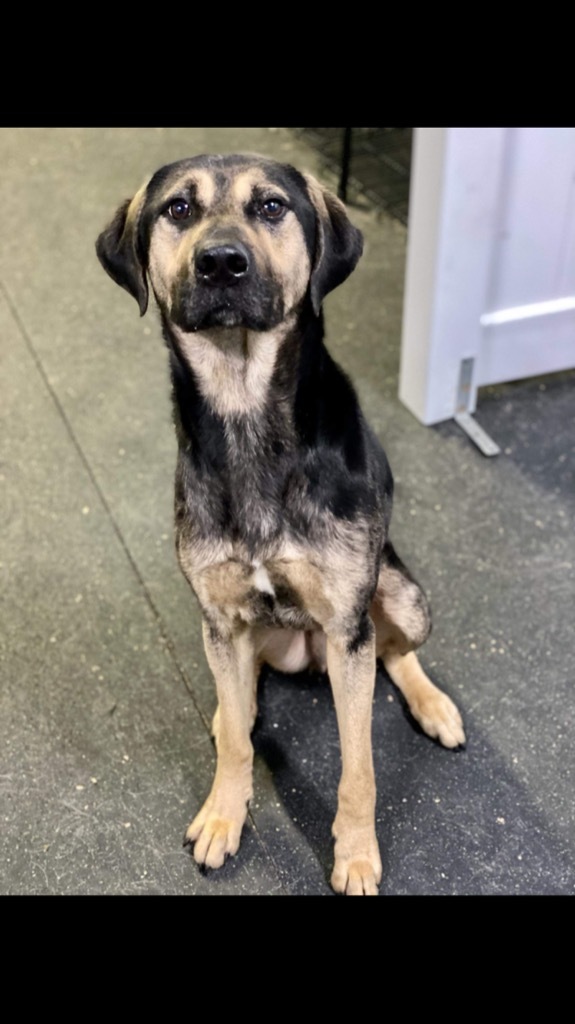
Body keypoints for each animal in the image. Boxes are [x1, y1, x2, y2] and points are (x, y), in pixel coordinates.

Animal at [94, 153, 460, 897]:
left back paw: (433, 705)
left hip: (400, 598)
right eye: (177, 209)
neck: (246, 415)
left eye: (270, 207)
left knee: (394, 651)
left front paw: (355, 854)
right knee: (242, 689)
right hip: (235, 632)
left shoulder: (347, 624)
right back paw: (225, 705)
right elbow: (238, 740)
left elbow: (359, 765)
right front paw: (223, 814)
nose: (220, 264)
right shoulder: (221, 615)